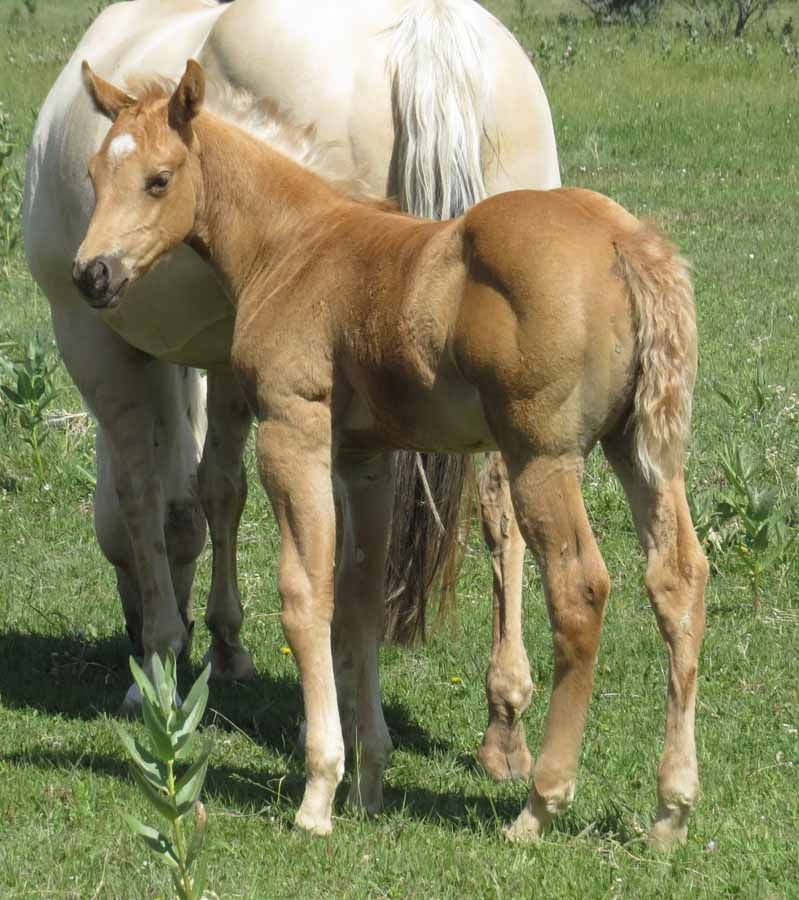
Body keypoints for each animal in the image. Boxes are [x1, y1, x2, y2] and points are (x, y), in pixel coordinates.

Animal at [24, 0, 558, 774]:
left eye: (154, 180)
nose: (92, 272)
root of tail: (430, 29)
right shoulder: (227, 359)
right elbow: (216, 489)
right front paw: (224, 645)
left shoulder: (99, 345)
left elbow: (147, 499)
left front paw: (156, 667)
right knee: (501, 512)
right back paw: (504, 723)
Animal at [72, 59, 708, 850]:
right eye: (95, 173)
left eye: (159, 179)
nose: (91, 274)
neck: (292, 246)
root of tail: (627, 243)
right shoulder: (365, 459)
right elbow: (360, 603)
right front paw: (369, 780)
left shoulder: (294, 429)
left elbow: (305, 594)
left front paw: (319, 790)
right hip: (644, 450)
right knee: (677, 580)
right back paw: (670, 810)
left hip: (542, 457)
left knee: (580, 592)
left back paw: (539, 804)